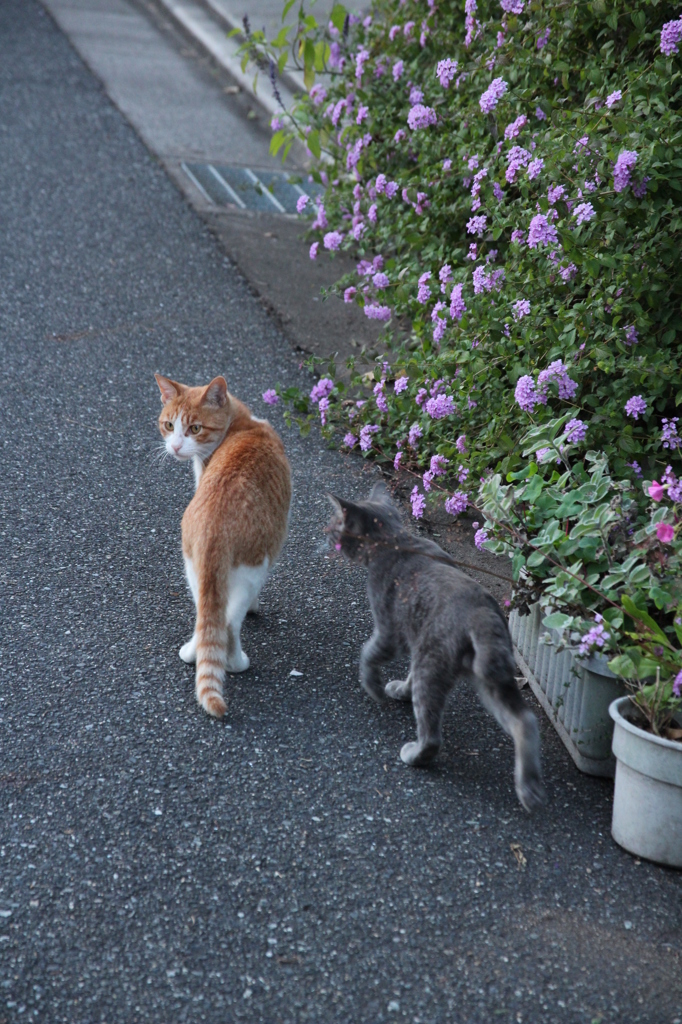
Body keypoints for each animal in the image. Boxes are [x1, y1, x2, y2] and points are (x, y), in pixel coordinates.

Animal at [155, 372, 290, 716]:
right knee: (228, 623)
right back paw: (237, 662)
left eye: (194, 428)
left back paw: (192, 652)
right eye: (169, 425)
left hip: (194, 566)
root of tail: (215, 528)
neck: (243, 424)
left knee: (206, 618)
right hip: (253, 567)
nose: (175, 446)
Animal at [327, 483, 544, 811]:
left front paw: (373, 687)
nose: (327, 533)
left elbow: (368, 654)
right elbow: (407, 672)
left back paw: (414, 754)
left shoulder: (390, 632)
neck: (398, 541)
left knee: (431, 735)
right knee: (525, 721)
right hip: (488, 673)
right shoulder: (415, 637)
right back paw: (528, 789)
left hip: (434, 663)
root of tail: (480, 612)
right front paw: (400, 690)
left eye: (335, 523)